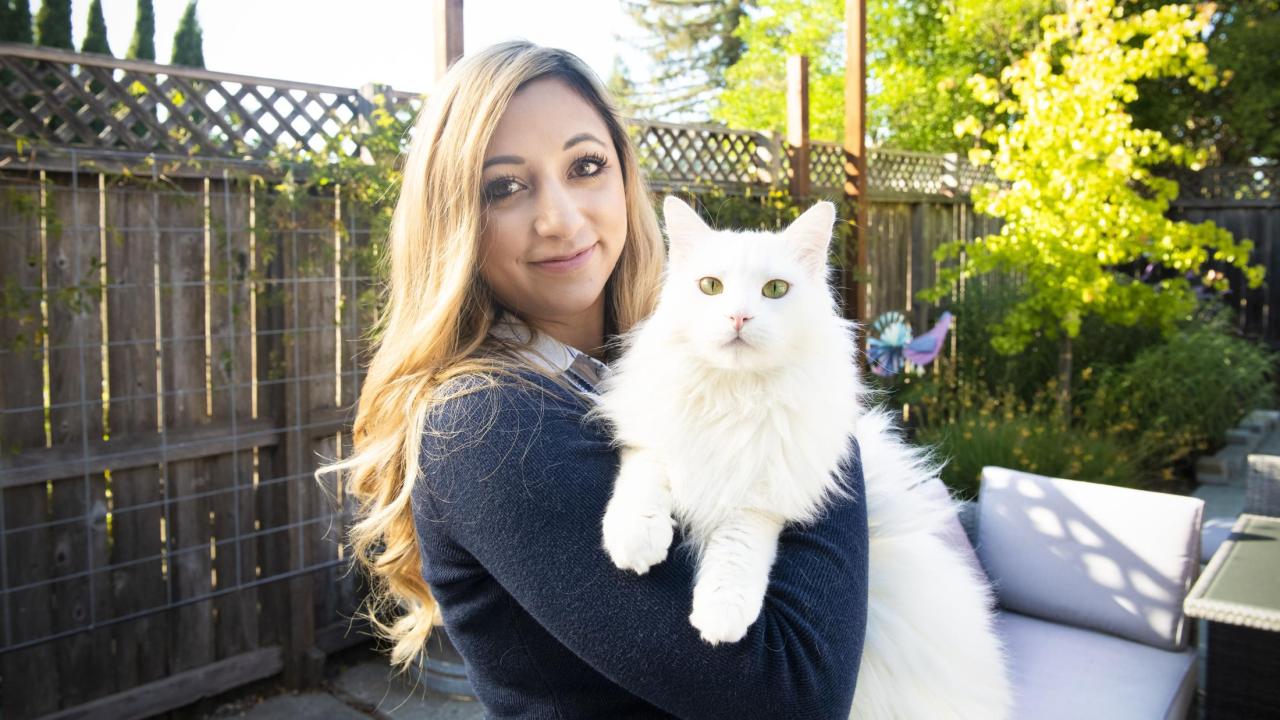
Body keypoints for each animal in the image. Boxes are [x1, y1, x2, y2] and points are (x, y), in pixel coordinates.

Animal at [586, 194, 1008, 717]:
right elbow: (646, 479)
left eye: (774, 290)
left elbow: (737, 552)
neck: (735, 396)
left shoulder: (763, 495)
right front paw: (636, 541)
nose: (739, 318)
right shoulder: (655, 439)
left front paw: (721, 615)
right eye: (710, 287)